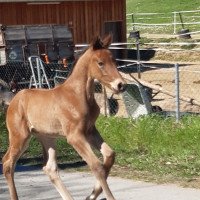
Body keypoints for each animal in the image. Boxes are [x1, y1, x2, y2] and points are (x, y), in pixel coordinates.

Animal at [2, 35, 126, 199]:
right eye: (100, 63)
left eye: (114, 61)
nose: (121, 85)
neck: (78, 95)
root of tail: (13, 100)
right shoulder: (74, 136)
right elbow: (96, 166)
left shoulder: (90, 131)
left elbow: (110, 155)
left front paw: (91, 195)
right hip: (20, 137)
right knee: (7, 163)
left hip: (47, 137)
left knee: (49, 168)